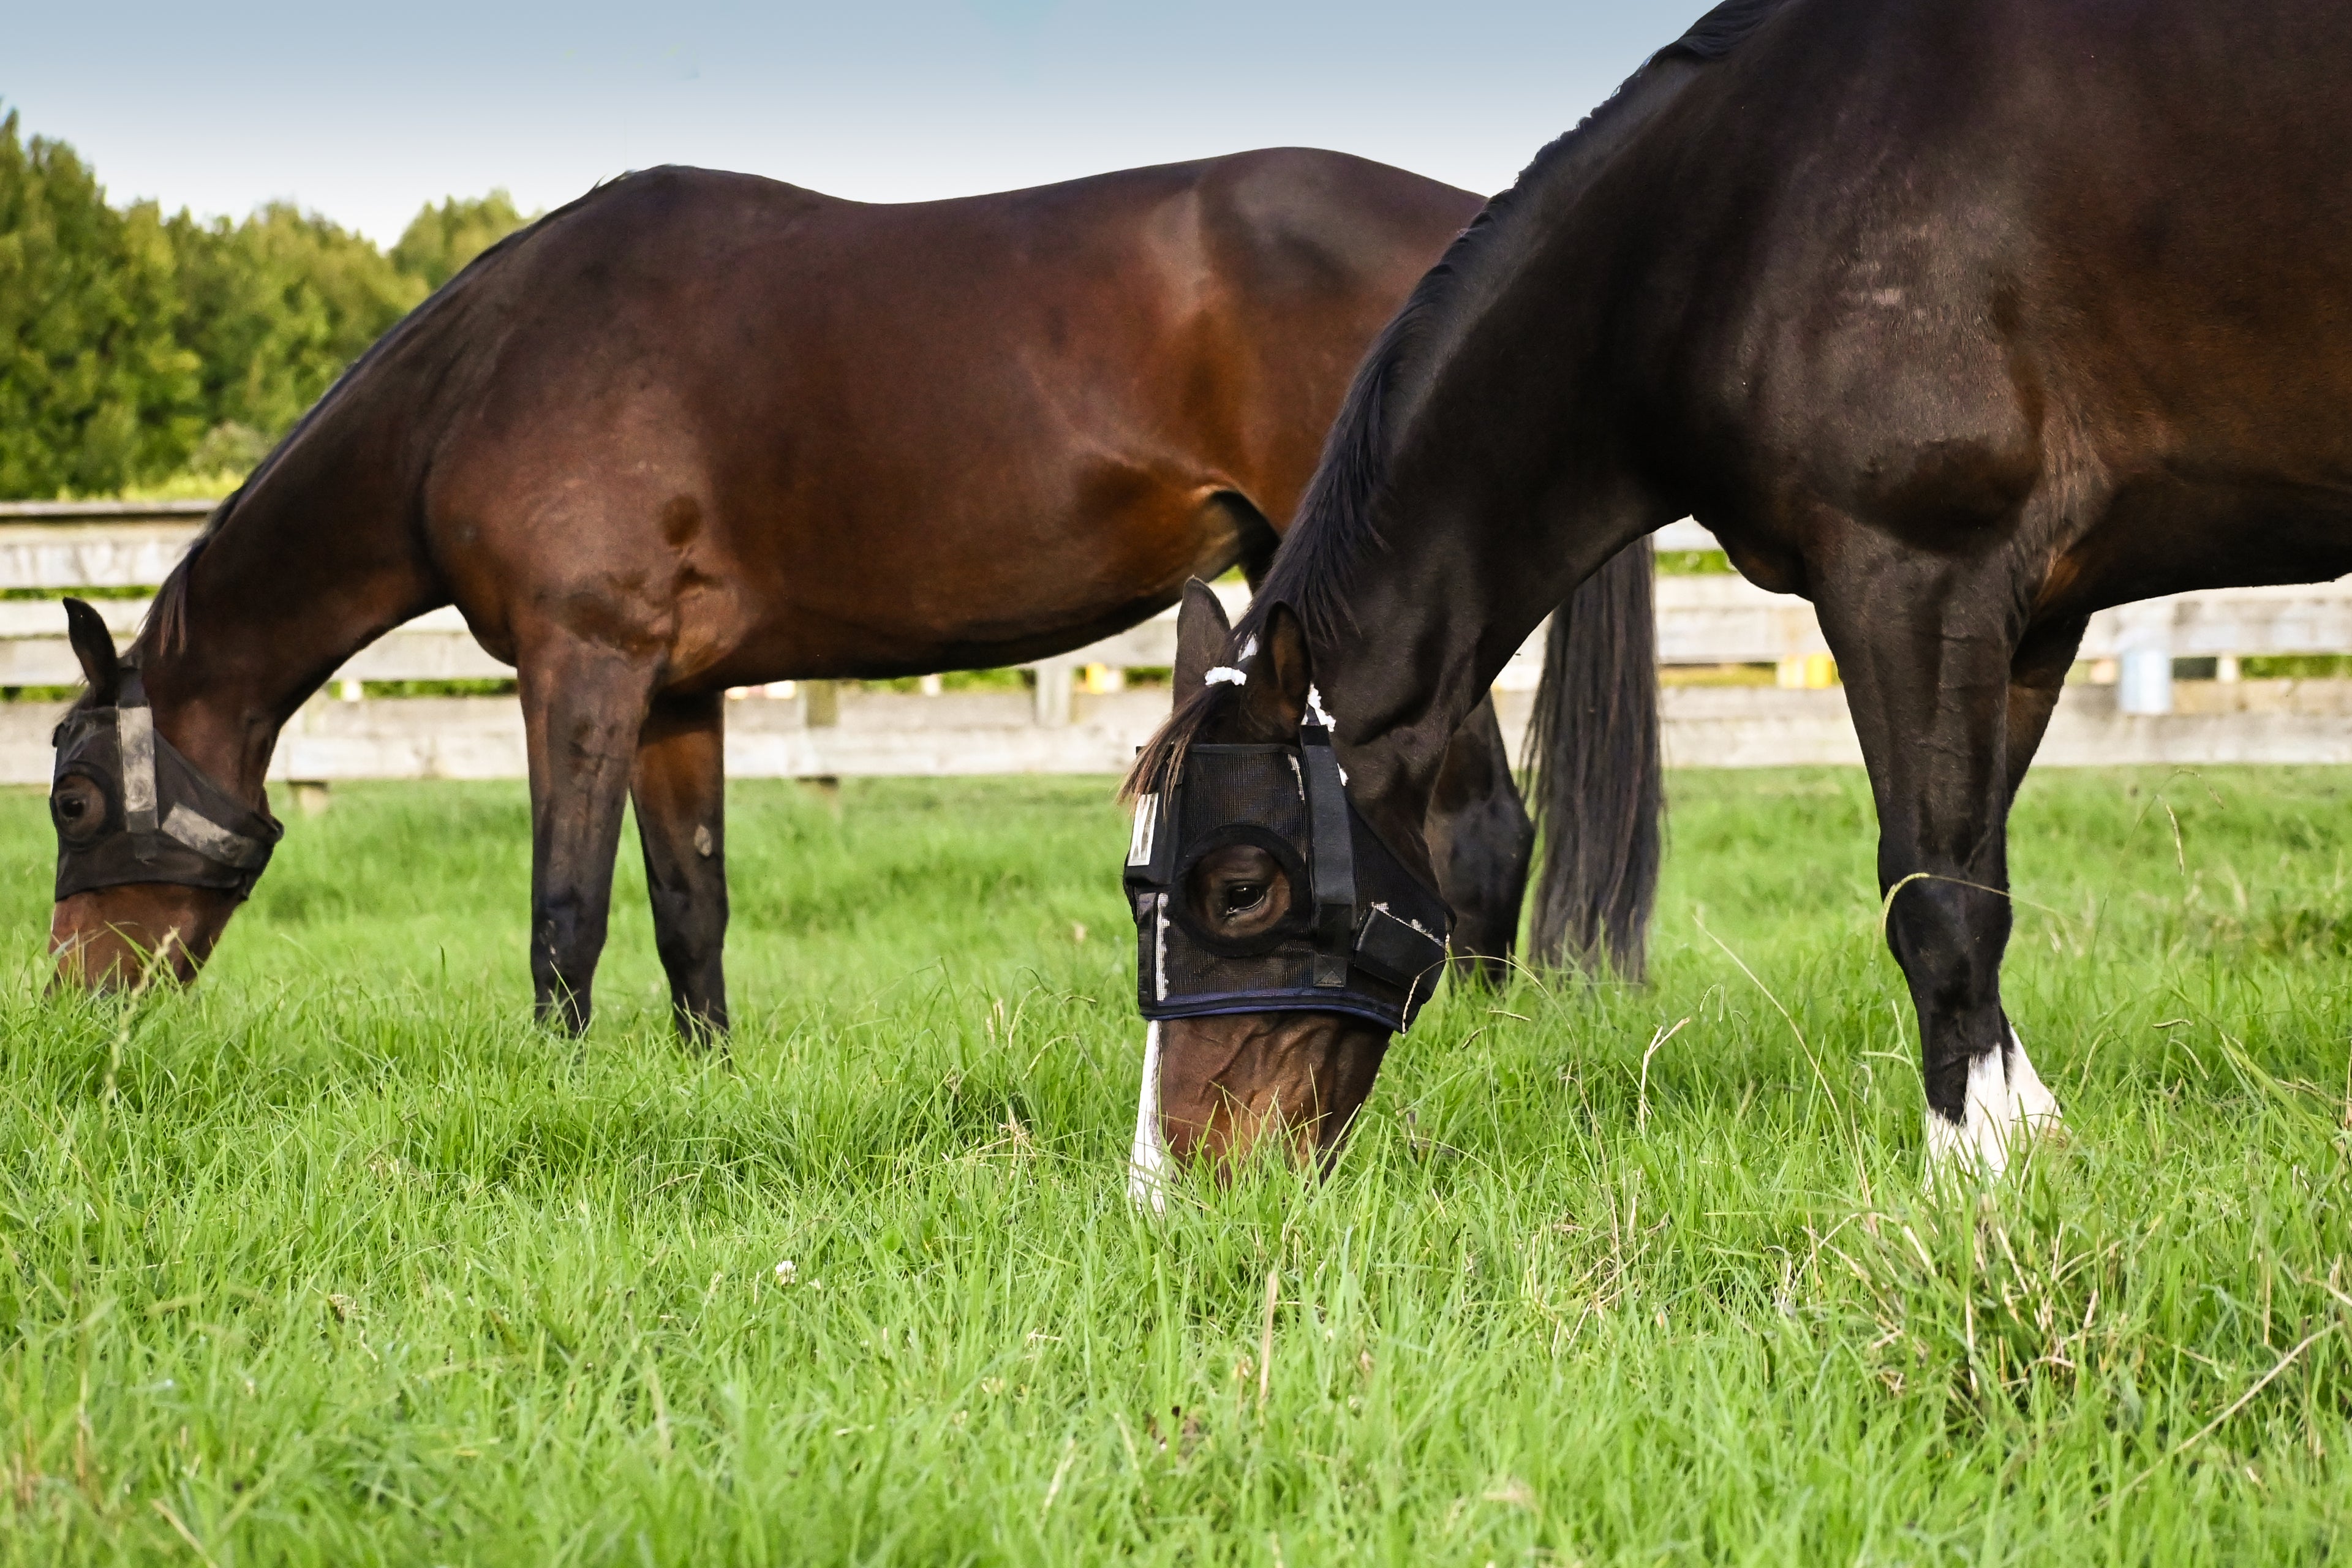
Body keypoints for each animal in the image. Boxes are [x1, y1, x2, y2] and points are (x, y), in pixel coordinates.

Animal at [44, 148, 1663, 1040]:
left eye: (69, 798)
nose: (73, 1009)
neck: (495, 369)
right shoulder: (671, 694)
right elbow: (688, 907)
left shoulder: (578, 668)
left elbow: (564, 909)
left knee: (1478, 833)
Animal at [1124, 0, 2352, 1186]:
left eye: (1241, 889)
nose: (1171, 1186)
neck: (1742, 206)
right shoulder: (2031, 620)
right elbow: (1979, 869)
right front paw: (2025, 1135)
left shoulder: (1914, 577)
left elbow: (1935, 893)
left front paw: (1969, 1170)